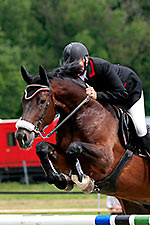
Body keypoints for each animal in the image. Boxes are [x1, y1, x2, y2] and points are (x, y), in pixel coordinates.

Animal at [15, 64, 150, 214]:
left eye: (42, 101)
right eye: (23, 100)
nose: (21, 137)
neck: (81, 115)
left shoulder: (105, 160)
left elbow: (74, 147)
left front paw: (83, 180)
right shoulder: (63, 158)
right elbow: (42, 147)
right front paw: (59, 179)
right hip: (135, 204)